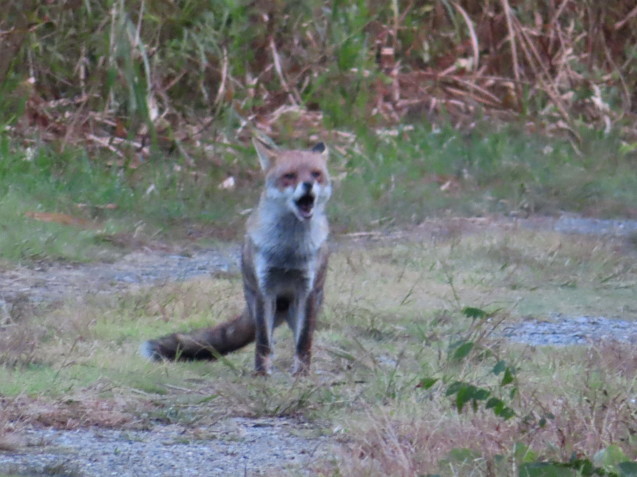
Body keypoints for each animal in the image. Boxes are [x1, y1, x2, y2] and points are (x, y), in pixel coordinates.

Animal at [141, 138, 330, 376]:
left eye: (316, 174)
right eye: (290, 176)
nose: (308, 184)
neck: (288, 251)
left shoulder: (308, 289)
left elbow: (304, 343)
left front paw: (301, 376)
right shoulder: (264, 288)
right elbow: (262, 343)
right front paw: (261, 375)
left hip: (301, 307)